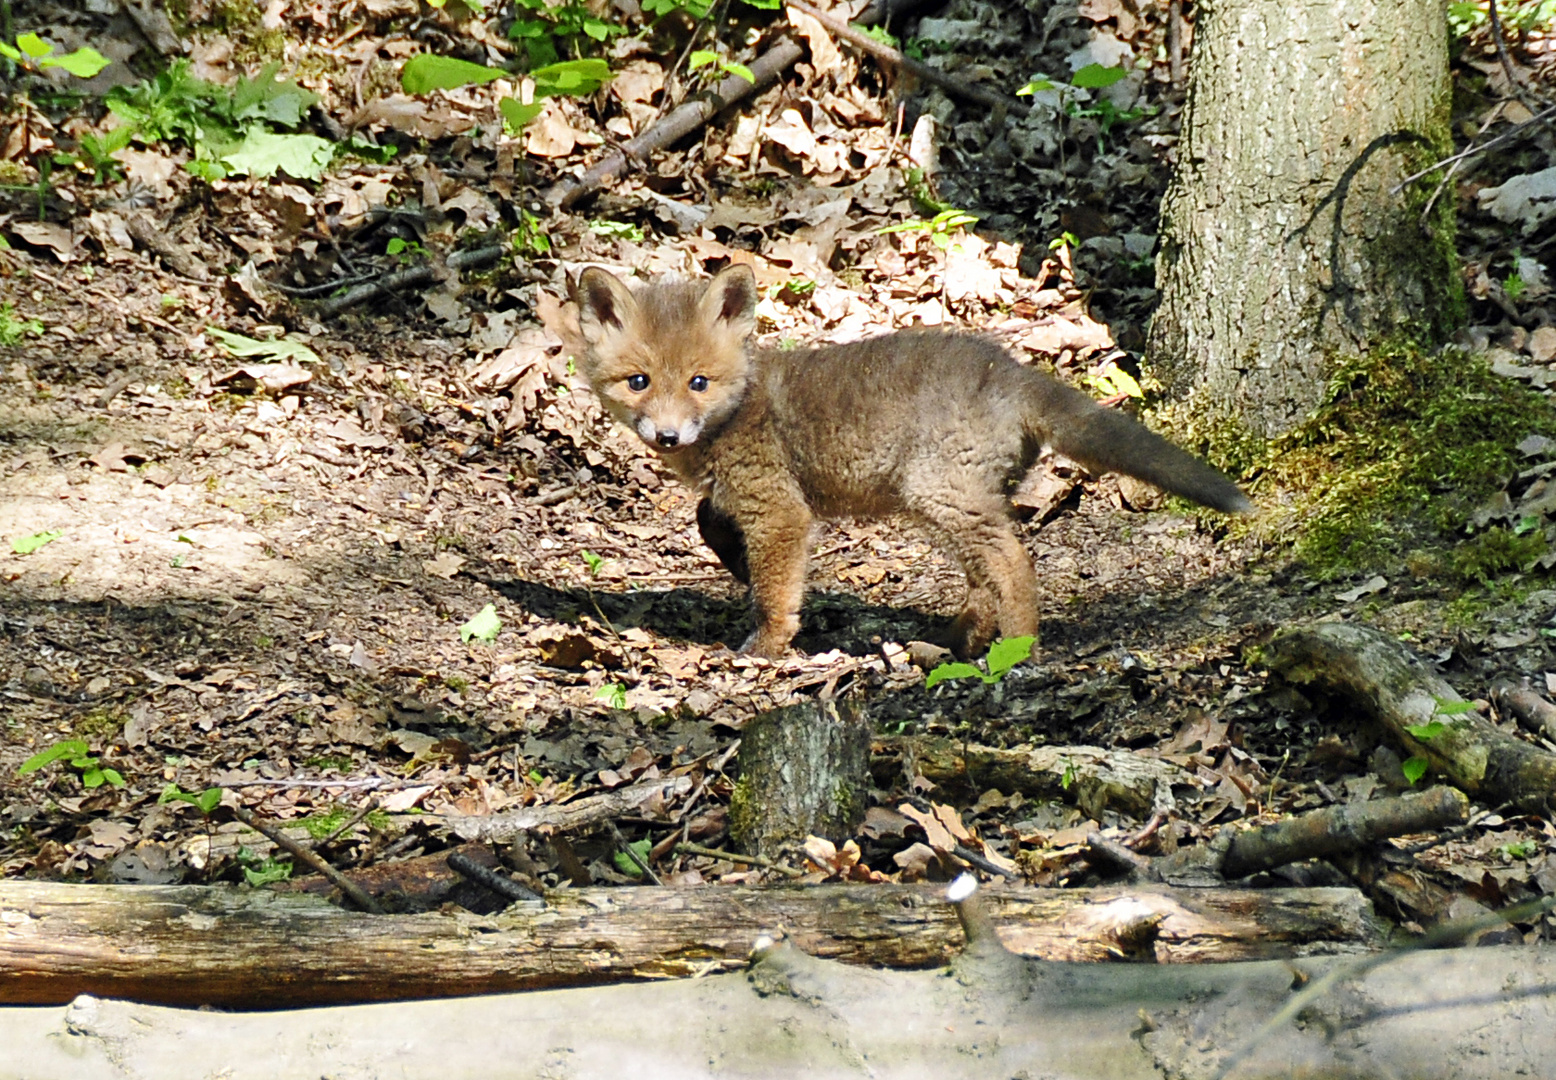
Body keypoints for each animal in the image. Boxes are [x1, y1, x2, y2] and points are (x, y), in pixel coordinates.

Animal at [572, 266, 1251, 662]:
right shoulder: (747, 498)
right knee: (985, 576)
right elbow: (708, 520)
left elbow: (772, 588)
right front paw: (737, 566)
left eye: (698, 382)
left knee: (1013, 563)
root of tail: (1012, 371)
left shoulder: (779, 508)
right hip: (963, 499)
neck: (741, 407)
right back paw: (960, 639)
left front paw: (767, 644)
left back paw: (1018, 648)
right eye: (638, 382)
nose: (666, 436)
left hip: (939, 494)